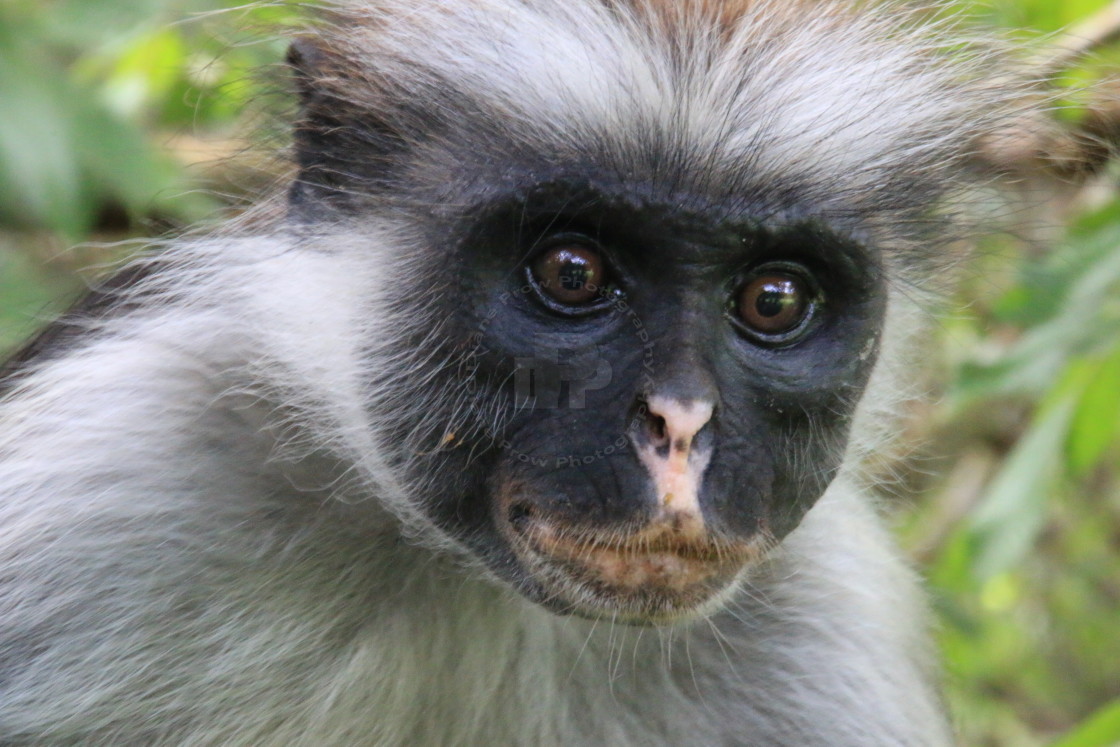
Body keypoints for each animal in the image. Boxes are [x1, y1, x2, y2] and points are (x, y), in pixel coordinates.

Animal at [0, 0, 1030, 743]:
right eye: (572, 273)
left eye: (774, 299)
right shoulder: (110, 473)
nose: (682, 425)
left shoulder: (832, 626)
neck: (470, 582)